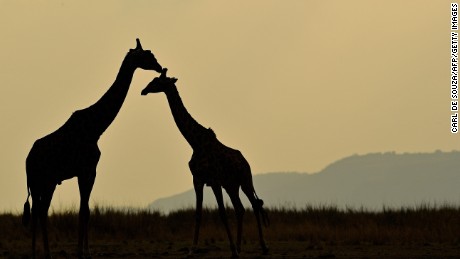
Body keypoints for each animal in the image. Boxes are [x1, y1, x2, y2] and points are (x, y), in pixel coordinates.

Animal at [23, 39, 164, 259]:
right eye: (146, 55)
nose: (159, 67)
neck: (96, 128)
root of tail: (27, 159)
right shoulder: (85, 170)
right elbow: (82, 211)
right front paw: (81, 252)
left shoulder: (91, 171)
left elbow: (87, 211)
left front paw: (86, 251)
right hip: (42, 181)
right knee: (40, 211)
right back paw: (41, 253)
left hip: (46, 182)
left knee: (40, 211)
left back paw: (40, 253)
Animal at [142, 68, 268, 258]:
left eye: (157, 81)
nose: (144, 90)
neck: (195, 142)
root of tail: (246, 162)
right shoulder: (198, 179)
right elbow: (198, 214)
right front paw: (192, 250)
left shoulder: (214, 180)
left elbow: (222, 213)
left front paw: (231, 249)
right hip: (231, 185)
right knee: (240, 209)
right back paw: (239, 248)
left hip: (245, 181)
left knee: (254, 205)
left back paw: (262, 247)